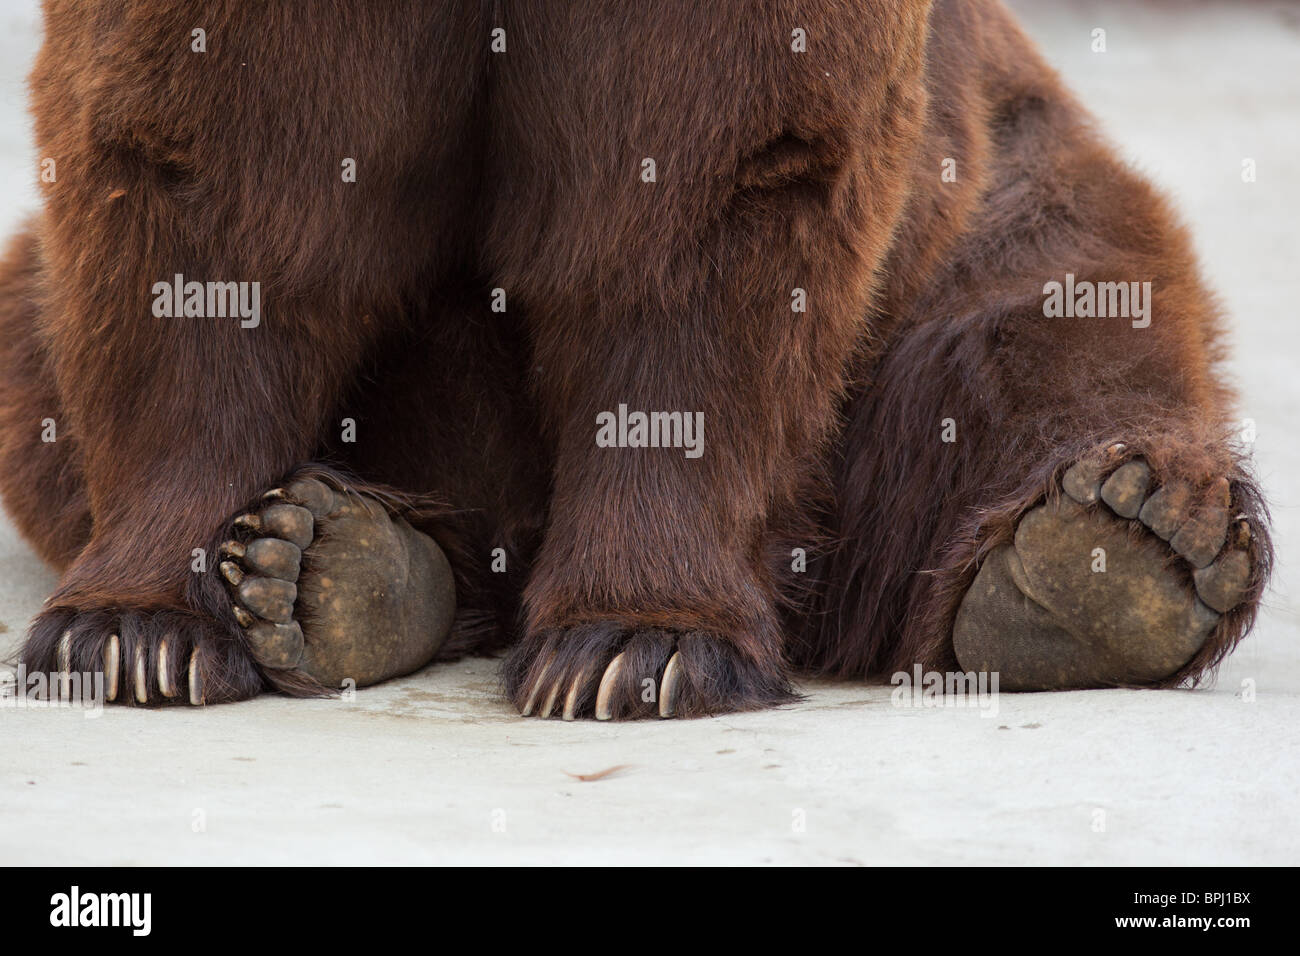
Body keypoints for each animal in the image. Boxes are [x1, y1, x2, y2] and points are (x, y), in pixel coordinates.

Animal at [0, 0, 1268, 717]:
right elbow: (207, 187)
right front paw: (134, 633)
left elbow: (706, 202)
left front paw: (636, 646)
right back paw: (336, 562)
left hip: (991, 195)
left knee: (1054, 315)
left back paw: (1118, 545)